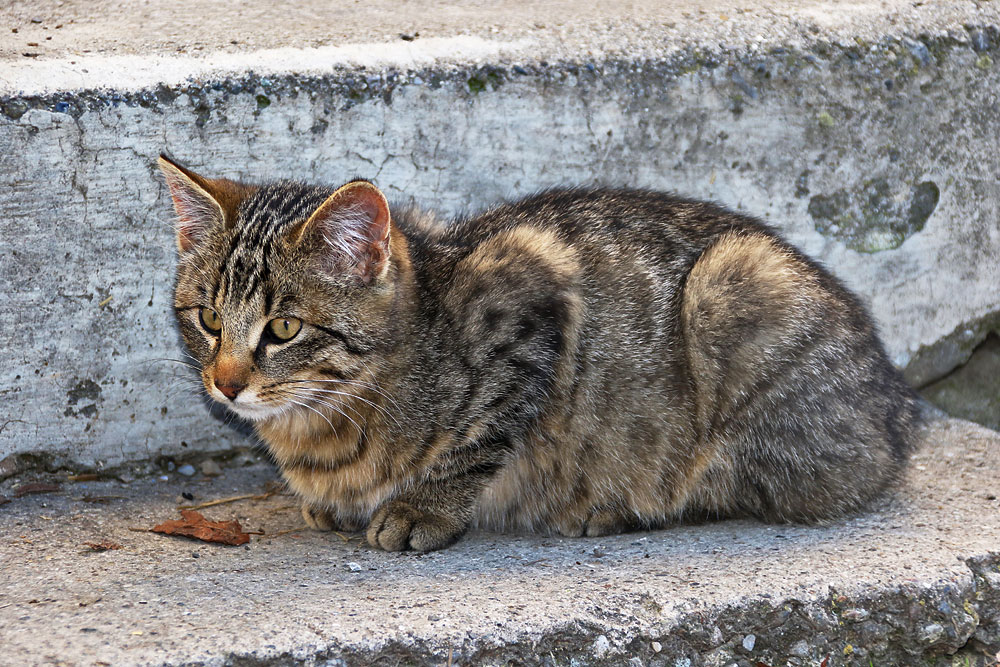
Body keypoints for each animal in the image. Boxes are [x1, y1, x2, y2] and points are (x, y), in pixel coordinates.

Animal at [158, 154, 920, 552]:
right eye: (207, 319)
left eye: (285, 328)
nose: (226, 384)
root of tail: (896, 408)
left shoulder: (530, 299)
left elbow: (480, 435)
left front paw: (423, 508)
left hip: (734, 288)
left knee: (742, 482)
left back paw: (613, 508)